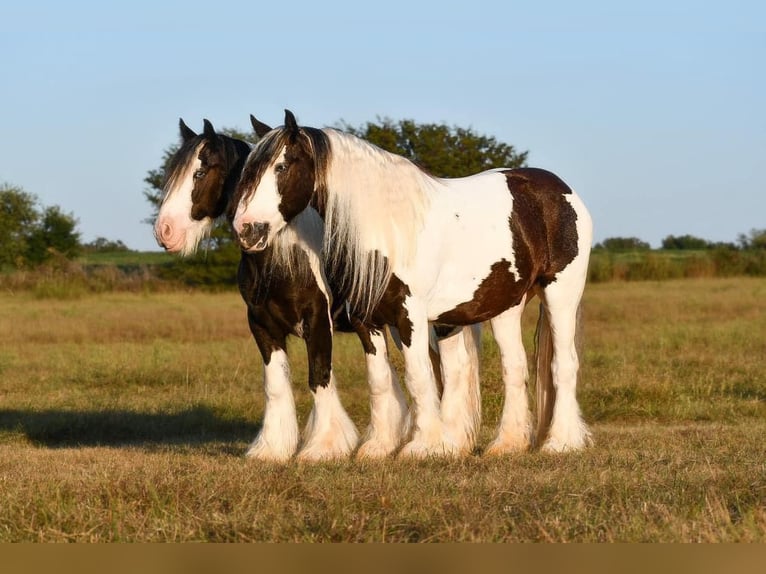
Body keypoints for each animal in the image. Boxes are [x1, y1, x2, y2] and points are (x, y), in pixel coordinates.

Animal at [154, 118, 484, 464]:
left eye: (200, 172)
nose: (165, 232)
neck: (284, 257)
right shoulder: (262, 325)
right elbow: (275, 384)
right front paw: (272, 449)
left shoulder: (318, 322)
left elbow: (320, 377)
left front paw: (324, 446)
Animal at [232, 110, 592, 462]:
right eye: (248, 171)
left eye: (281, 166)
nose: (247, 229)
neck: (382, 229)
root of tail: (562, 190)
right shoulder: (367, 320)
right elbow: (380, 379)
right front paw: (378, 448)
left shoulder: (409, 316)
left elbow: (418, 377)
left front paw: (422, 447)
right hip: (506, 306)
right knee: (514, 367)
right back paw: (508, 444)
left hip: (560, 294)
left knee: (563, 364)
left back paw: (561, 442)